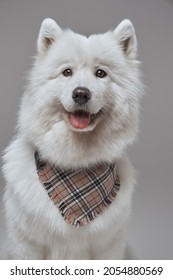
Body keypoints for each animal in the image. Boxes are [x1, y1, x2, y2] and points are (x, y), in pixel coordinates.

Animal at [2, 17, 143, 260]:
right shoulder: (27, 245)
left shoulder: (107, 247)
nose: (81, 94)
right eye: (67, 72)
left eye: (100, 73)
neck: (76, 165)